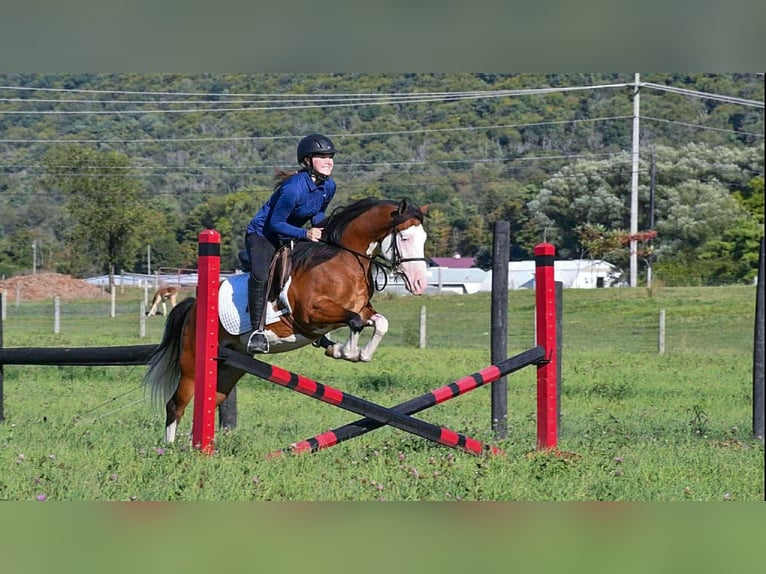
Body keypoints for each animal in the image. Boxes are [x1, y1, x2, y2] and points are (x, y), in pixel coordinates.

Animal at [143, 197, 429, 443]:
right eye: (404, 237)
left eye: (424, 238)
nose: (419, 283)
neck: (343, 260)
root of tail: (194, 305)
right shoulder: (312, 313)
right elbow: (356, 322)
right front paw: (345, 351)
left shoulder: (360, 309)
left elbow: (378, 322)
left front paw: (355, 353)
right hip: (191, 364)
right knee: (176, 405)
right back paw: (170, 450)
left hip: (232, 365)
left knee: (212, 399)